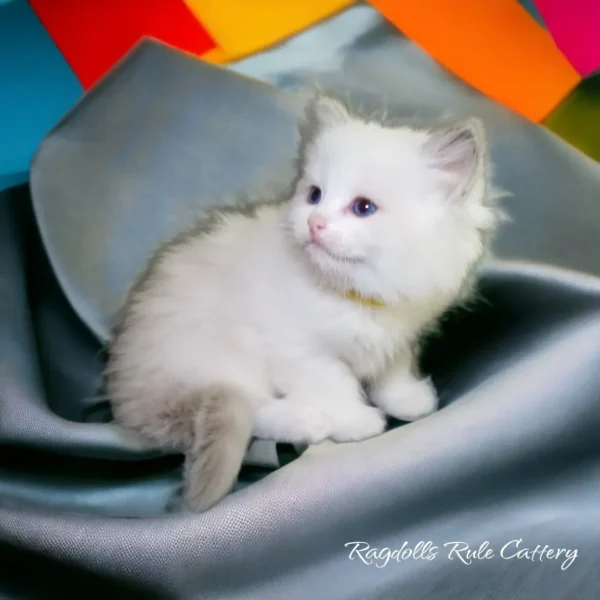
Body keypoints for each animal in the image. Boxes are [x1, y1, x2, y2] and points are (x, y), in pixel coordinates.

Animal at [105, 94, 500, 510]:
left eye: (363, 207)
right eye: (314, 195)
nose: (314, 223)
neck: (353, 295)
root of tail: (132, 396)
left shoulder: (398, 335)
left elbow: (392, 370)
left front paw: (406, 399)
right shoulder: (301, 352)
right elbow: (336, 384)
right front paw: (355, 421)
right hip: (218, 351)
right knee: (250, 404)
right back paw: (306, 421)